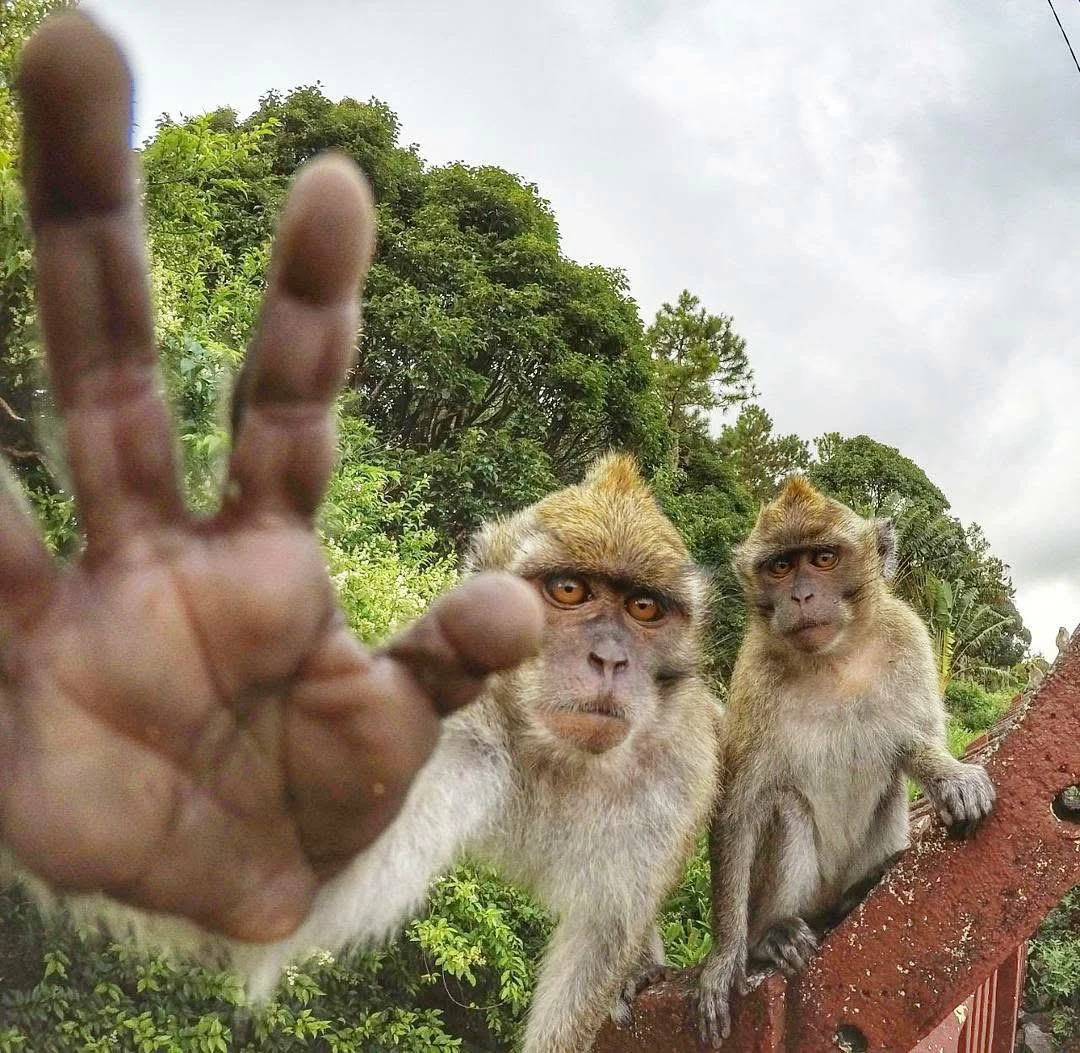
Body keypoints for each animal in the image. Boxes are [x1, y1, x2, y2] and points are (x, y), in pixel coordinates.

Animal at [227, 453, 724, 1053]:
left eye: (644, 607)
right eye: (569, 590)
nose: (609, 659)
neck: (552, 754)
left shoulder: (679, 768)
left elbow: (599, 936)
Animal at [694, 478, 995, 1047]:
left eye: (824, 558)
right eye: (780, 567)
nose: (801, 596)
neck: (832, 657)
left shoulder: (910, 638)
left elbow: (913, 744)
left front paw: (952, 777)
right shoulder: (752, 674)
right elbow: (740, 807)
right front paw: (723, 959)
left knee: (889, 787)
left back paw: (860, 890)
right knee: (785, 807)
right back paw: (772, 935)